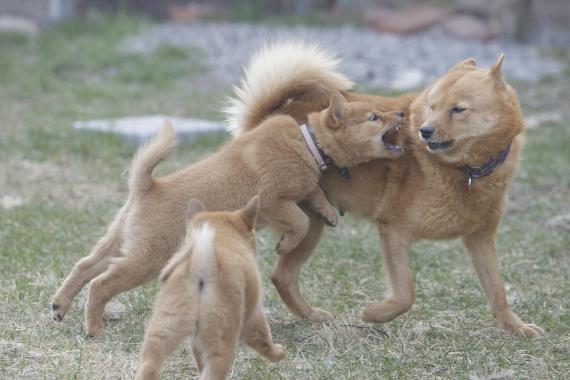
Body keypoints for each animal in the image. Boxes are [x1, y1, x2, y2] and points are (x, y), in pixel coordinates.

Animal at [50, 92, 404, 336]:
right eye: (374, 116)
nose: (401, 112)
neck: (307, 142)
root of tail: (148, 187)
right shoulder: (274, 201)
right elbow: (301, 221)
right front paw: (286, 243)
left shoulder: (300, 188)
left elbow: (313, 191)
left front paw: (328, 211)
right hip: (146, 259)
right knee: (100, 284)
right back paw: (94, 329)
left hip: (120, 243)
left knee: (85, 266)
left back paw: (59, 305)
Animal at [134, 196, 284, 380]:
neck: (221, 234)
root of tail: (202, 267)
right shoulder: (254, 316)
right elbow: (265, 341)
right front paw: (279, 353)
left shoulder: (197, 342)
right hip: (221, 343)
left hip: (162, 331)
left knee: (148, 366)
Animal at [226, 43, 540, 336]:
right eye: (432, 106)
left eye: (458, 109)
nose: (424, 131)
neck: (466, 171)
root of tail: (268, 115)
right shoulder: (394, 231)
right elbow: (406, 294)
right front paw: (375, 314)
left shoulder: (481, 239)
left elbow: (497, 291)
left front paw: (516, 327)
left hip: (312, 224)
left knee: (282, 276)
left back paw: (311, 316)